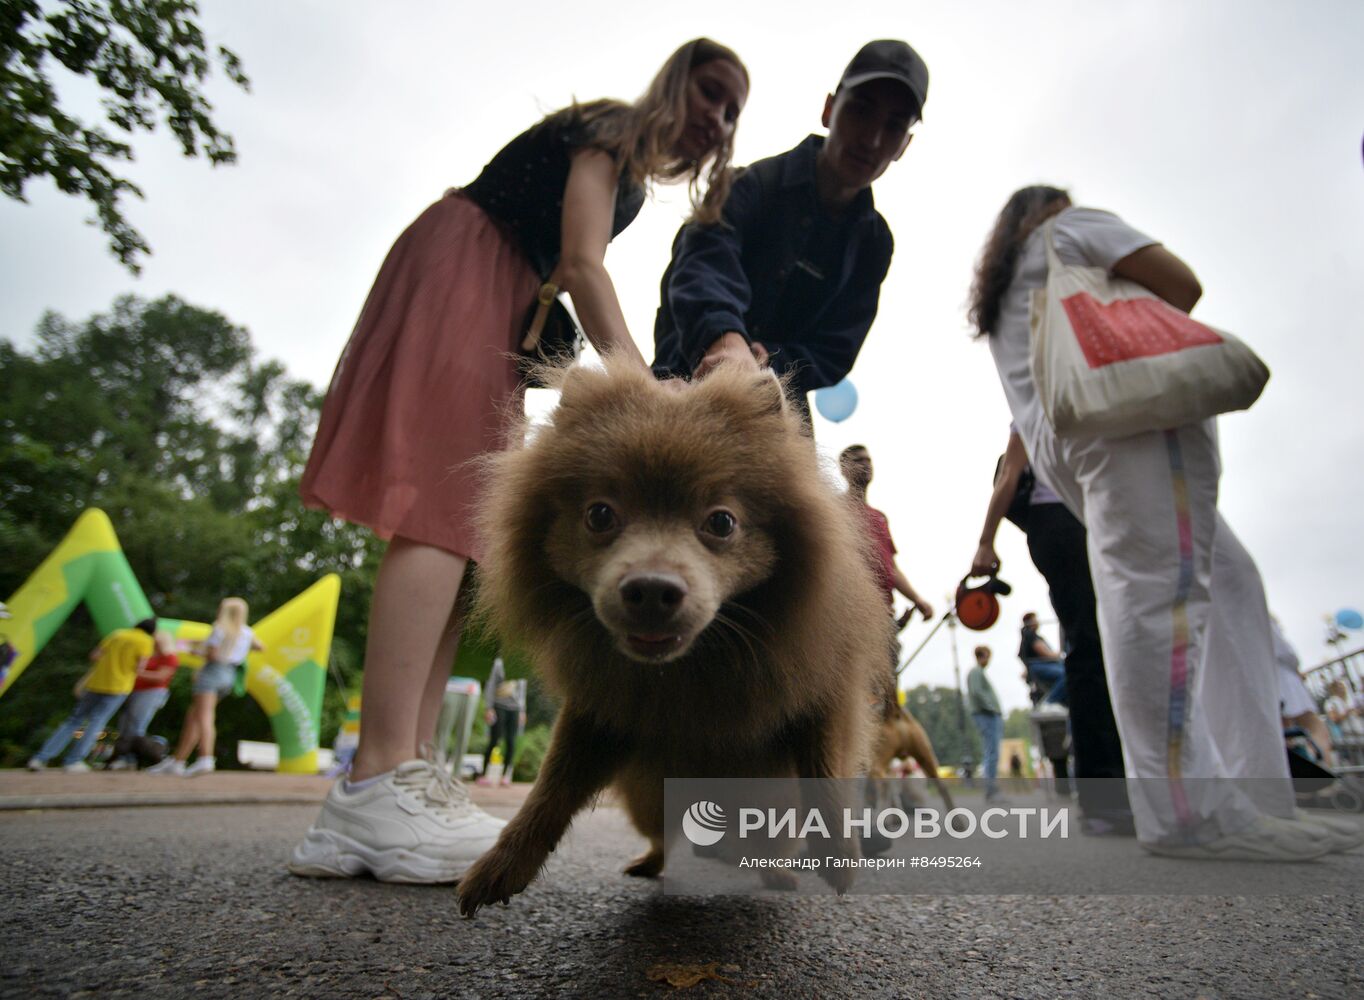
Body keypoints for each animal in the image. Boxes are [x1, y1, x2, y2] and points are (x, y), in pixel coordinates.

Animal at [452, 362, 889, 916]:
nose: (653, 590)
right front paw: (500, 866)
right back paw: (650, 862)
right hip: (649, 799)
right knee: (661, 834)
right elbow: (549, 792)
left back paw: (777, 874)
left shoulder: (820, 688)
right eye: (600, 515)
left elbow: (825, 773)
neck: (692, 668)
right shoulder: (599, 711)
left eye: (721, 522)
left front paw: (839, 855)